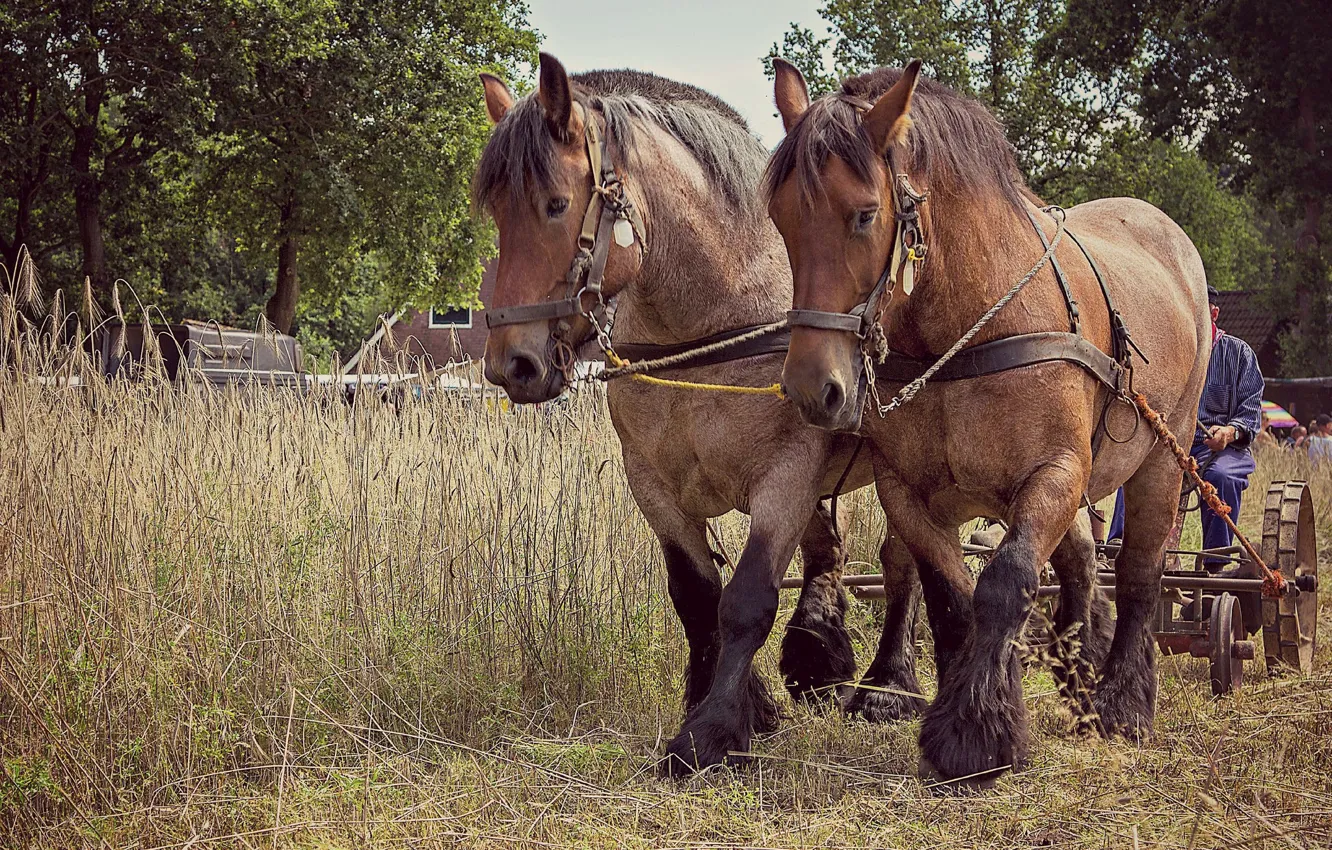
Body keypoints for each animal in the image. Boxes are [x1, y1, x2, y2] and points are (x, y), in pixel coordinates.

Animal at [474, 51, 932, 772]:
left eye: (554, 205)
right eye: (496, 212)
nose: (510, 365)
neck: (711, 326)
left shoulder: (785, 477)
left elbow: (745, 600)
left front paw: (715, 731)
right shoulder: (653, 485)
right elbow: (696, 597)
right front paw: (737, 704)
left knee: (899, 558)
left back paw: (888, 686)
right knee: (829, 553)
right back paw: (818, 659)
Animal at [767, 61, 1214, 794]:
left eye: (864, 213)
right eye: (780, 218)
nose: (813, 388)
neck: (970, 328)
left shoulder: (1055, 474)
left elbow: (1004, 583)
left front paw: (977, 736)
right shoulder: (908, 491)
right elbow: (951, 596)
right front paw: (955, 714)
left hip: (1160, 458)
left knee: (1141, 571)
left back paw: (1123, 702)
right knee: (1082, 562)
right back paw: (1078, 670)